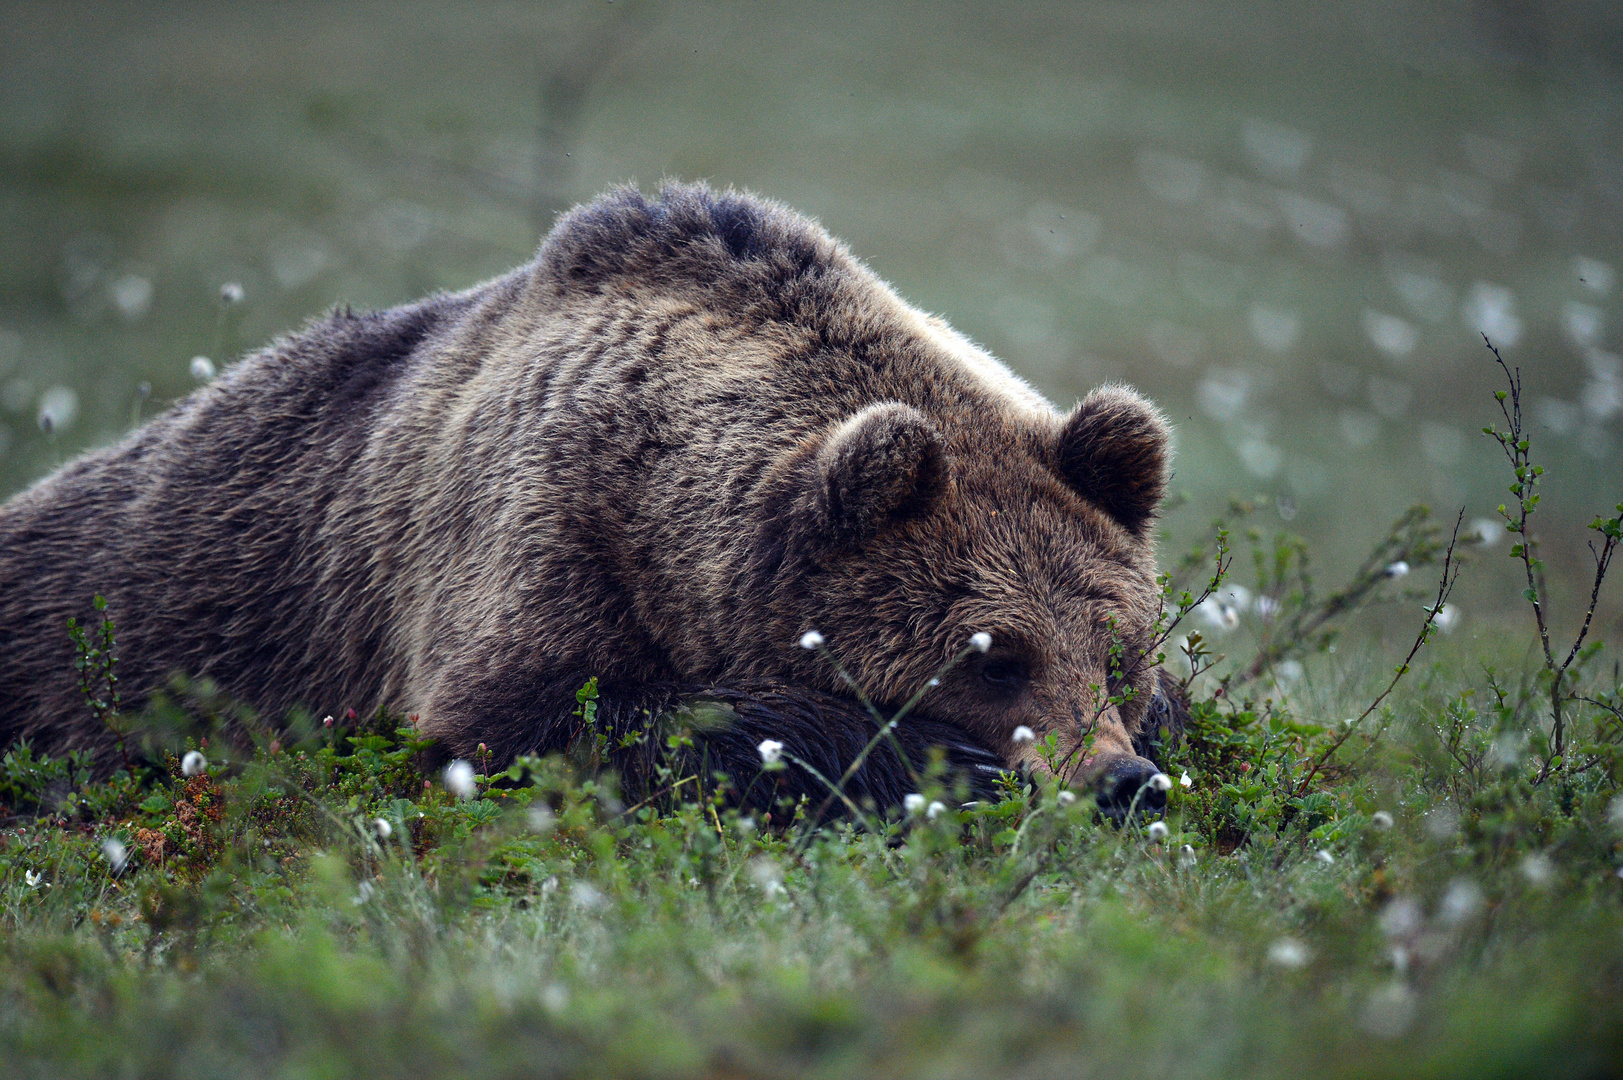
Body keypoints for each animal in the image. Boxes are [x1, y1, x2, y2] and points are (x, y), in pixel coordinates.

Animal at [3, 181, 1194, 812]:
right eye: (992, 656)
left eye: (1118, 650)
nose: (1119, 781)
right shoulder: (530, 538)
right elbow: (533, 725)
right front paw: (920, 757)